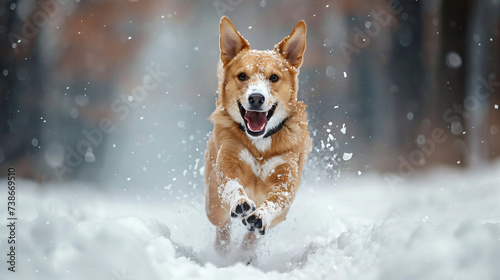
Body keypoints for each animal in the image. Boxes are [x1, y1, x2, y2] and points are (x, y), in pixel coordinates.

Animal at [205, 15, 310, 258]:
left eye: (274, 77)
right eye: (242, 75)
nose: (256, 97)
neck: (260, 144)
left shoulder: (285, 179)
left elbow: (275, 202)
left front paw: (260, 217)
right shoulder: (230, 159)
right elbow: (232, 185)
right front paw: (240, 202)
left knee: (252, 235)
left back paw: (246, 252)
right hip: (213, 202)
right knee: (222, 224)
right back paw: (223, 252)